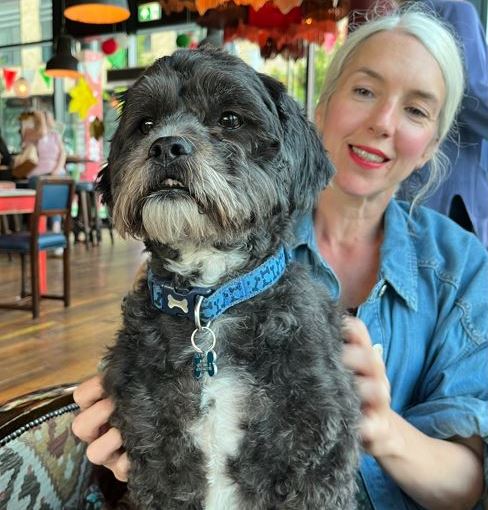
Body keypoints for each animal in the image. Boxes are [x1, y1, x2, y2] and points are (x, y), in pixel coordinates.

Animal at [97, 47, 360, 510]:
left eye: (230, 119)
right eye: (145, 124)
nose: (166, 146)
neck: (211, 303)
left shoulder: (316, 460)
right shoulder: (155, 454)